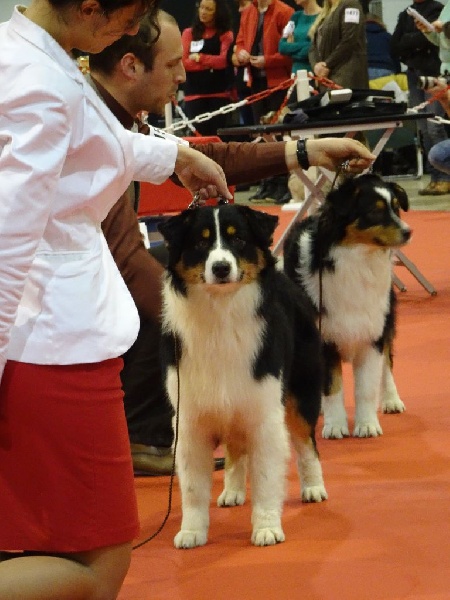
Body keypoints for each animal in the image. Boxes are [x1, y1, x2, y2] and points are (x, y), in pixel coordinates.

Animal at [158, 204, 327, 549]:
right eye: (201, 242)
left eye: (238, 240)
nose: (221, 268)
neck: (221, 313)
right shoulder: (190, 419)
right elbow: (192, 487)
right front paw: (192, 531)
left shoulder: (265, 412)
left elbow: (265, 477)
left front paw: (267, 527)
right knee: (236, 448)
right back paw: (232, 491)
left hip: (301, 391)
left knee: (306, 442)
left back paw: (314, 487)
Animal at [283, 173, 411, 440]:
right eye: (374, 211)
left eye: (396, 208)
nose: (408, 232)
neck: (357, 258)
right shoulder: (325, 338)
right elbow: (332, 386)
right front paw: (335, 425)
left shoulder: (372, 334)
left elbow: (367, 387)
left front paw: (367, 424)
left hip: (387, 317)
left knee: (388, 363)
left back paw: (392, 400)